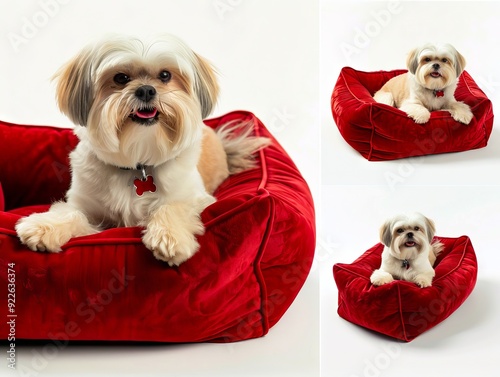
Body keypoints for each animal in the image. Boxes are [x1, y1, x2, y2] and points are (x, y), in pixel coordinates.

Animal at [14, 33, 270, 266]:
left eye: (165, 75)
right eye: (120, 78)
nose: (146, 90)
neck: (139, 160)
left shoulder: (197, 199)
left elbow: (172, 206)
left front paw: (170, 236)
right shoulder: (86, 205)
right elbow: (69, 212)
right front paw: (43, 226)